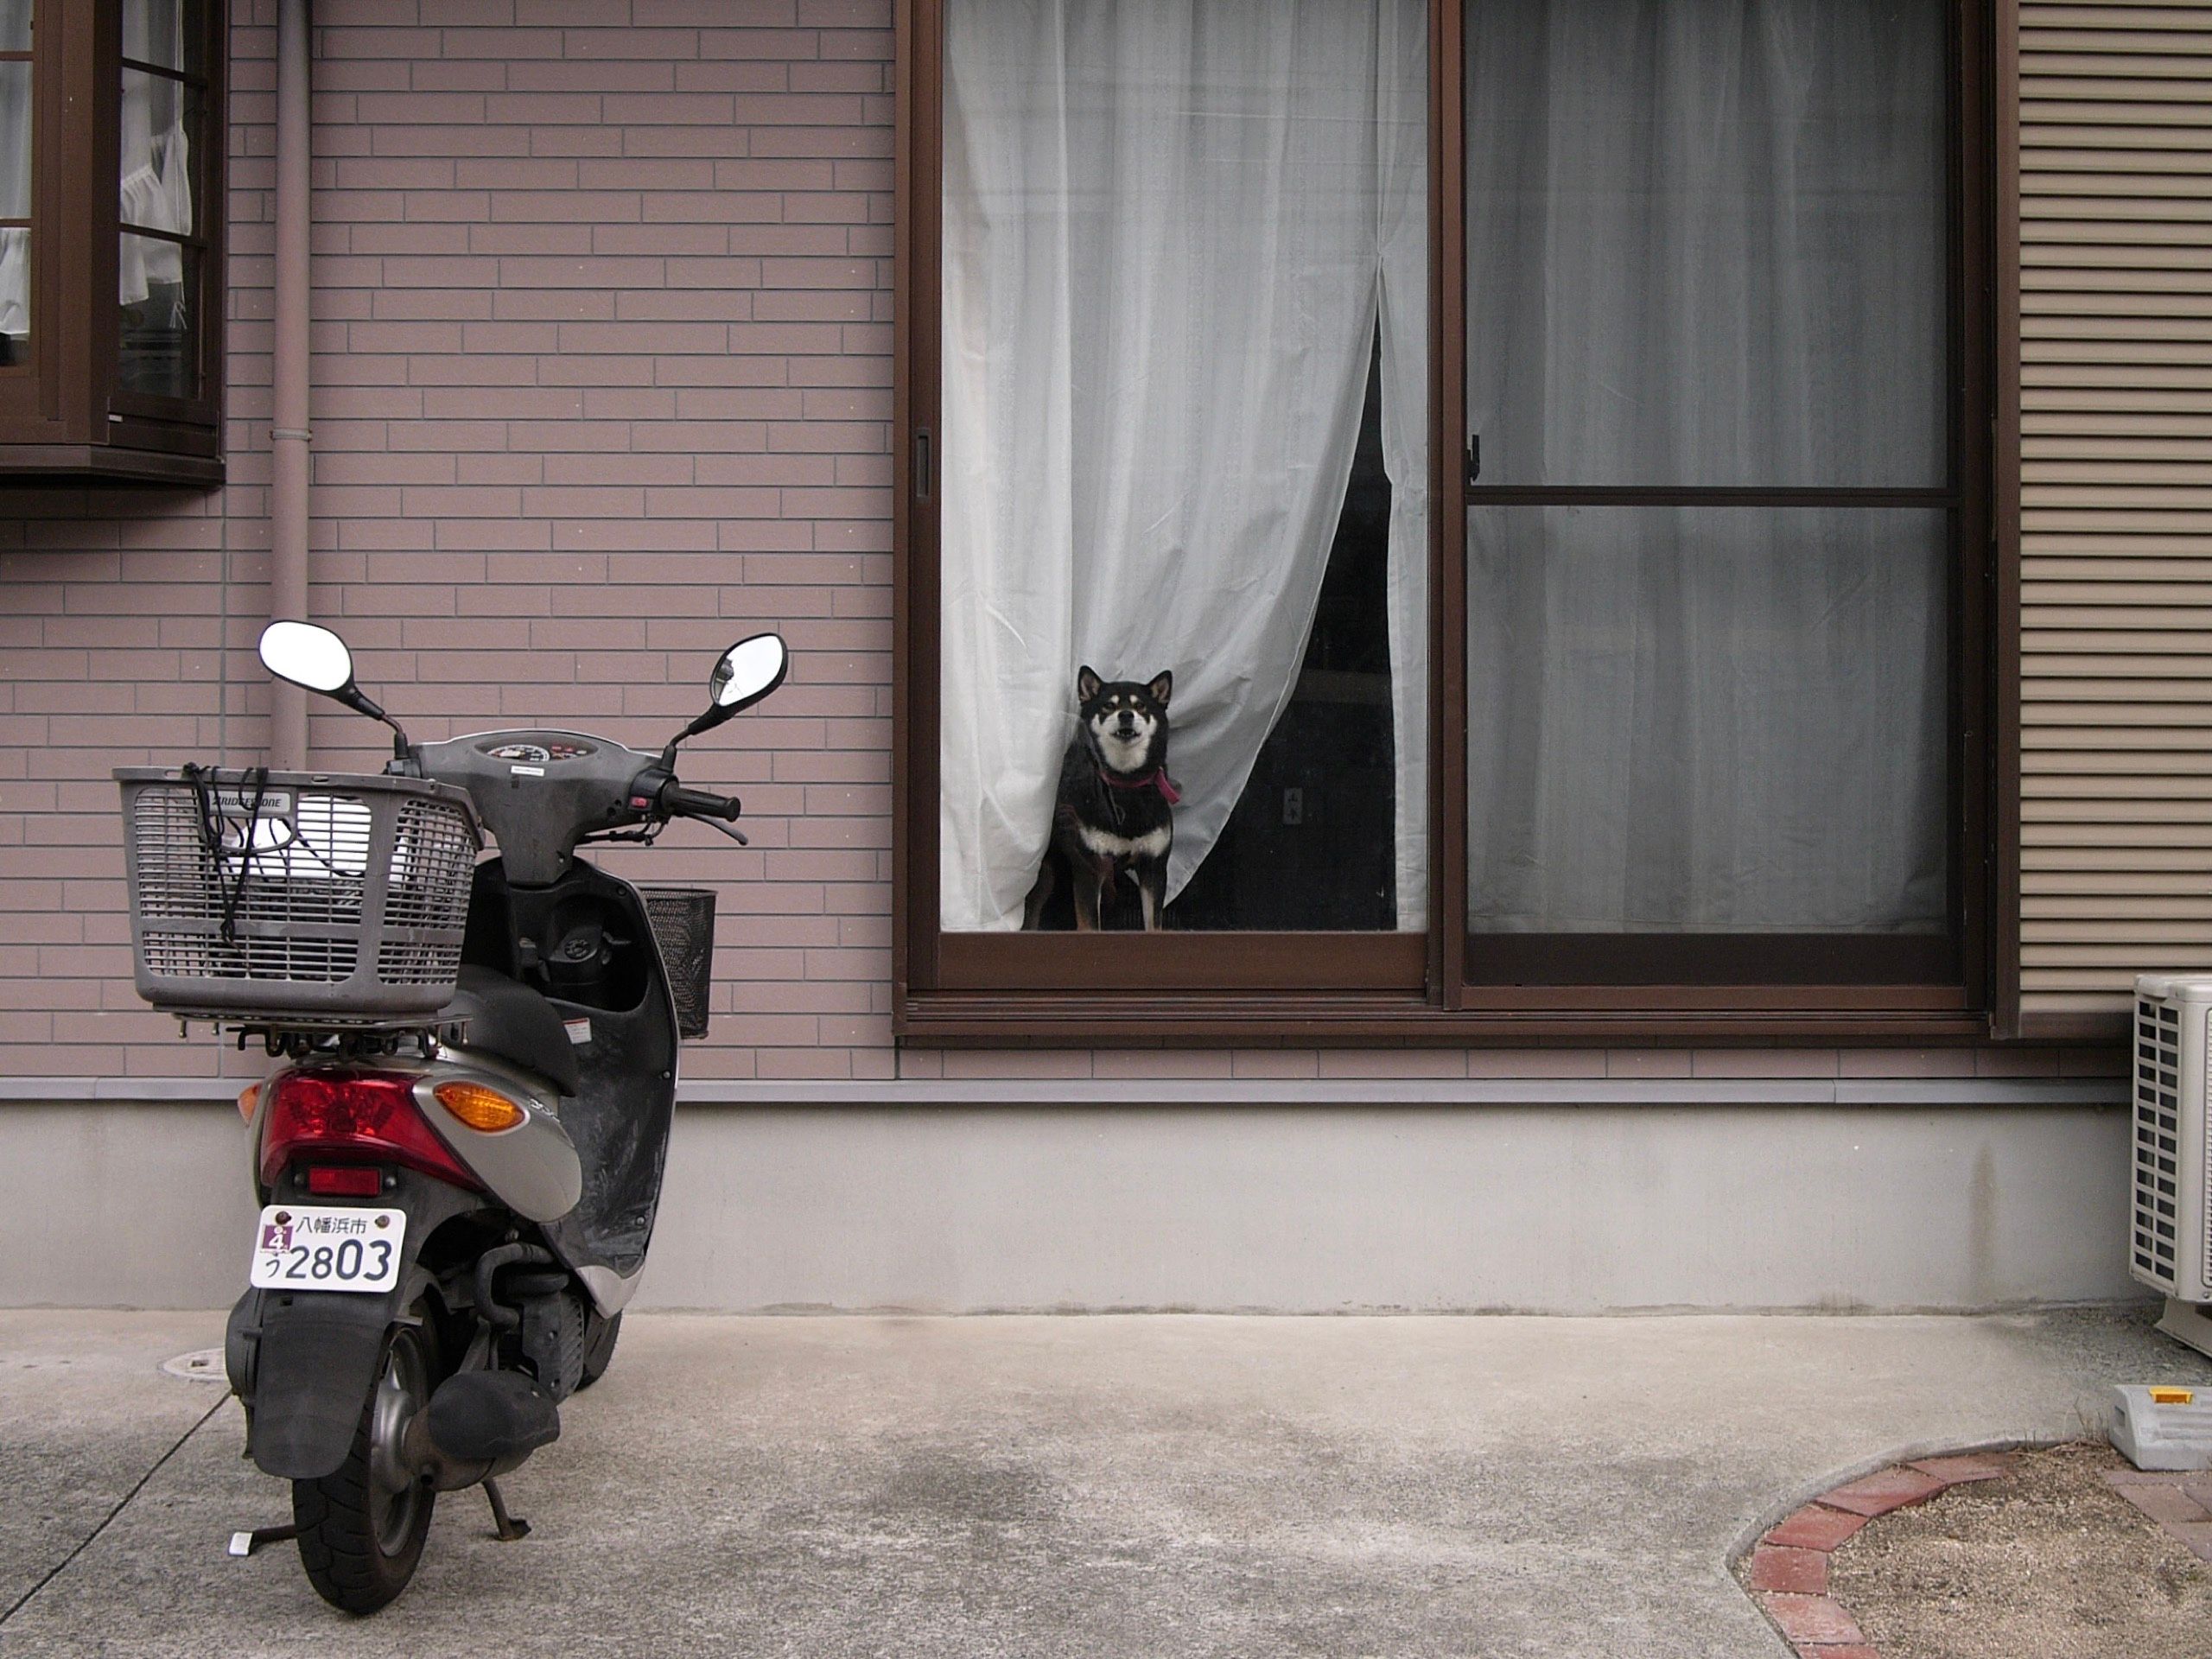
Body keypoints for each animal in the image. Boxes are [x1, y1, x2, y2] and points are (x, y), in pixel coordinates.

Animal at [1026, 672, 1185, 938]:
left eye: (1141, 706)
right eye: (1108, 706)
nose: (1126, 715)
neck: (1125, 783)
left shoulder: (1153, 867)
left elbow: (1153, 925)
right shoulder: (1089, 868)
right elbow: (1089, 925)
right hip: (1046, 874)